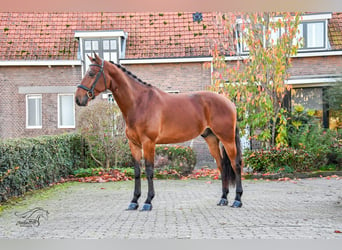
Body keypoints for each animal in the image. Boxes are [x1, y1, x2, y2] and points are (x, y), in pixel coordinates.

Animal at [75, 53, 243, 211]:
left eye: (91, 73)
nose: (78, 99)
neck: (139, 103)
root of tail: (229, 102)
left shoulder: (148, 142)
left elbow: (149, 170)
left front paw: (148, 202)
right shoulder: (134, 144)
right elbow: (137, 171)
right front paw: (134, 201)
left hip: (227, 139)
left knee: (236, 164)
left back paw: (237, 200)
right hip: (212, 139)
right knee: (222, 166)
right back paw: (223, 199)